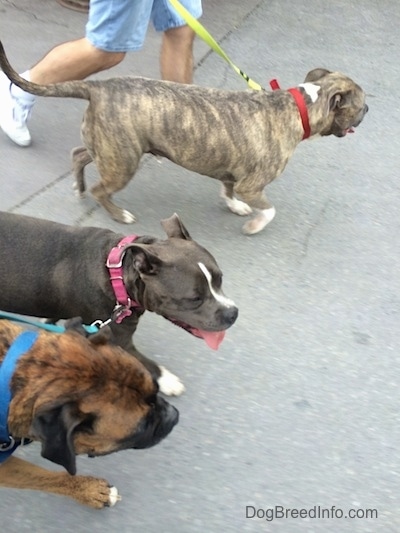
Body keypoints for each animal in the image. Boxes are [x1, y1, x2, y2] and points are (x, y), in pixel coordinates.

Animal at [0, 41, 368, 233]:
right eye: (360, 104)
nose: (367, 111)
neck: (299, 105)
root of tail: (98, 86)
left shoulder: (235, 173)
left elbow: (228, 188)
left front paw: (234, 206)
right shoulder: (254, 184)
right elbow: (269, 209)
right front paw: (255, 224)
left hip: (110, 147)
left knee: (78, 155)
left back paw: (78, 186)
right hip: (123, 161)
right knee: (101, 189)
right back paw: (119, 214)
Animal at [0, 212, 238, 394]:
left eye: (220, 279)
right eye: (194, 299)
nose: (233, 313)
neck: (118, 272)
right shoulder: (119, 340)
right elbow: (146, 363)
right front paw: (168, 380)